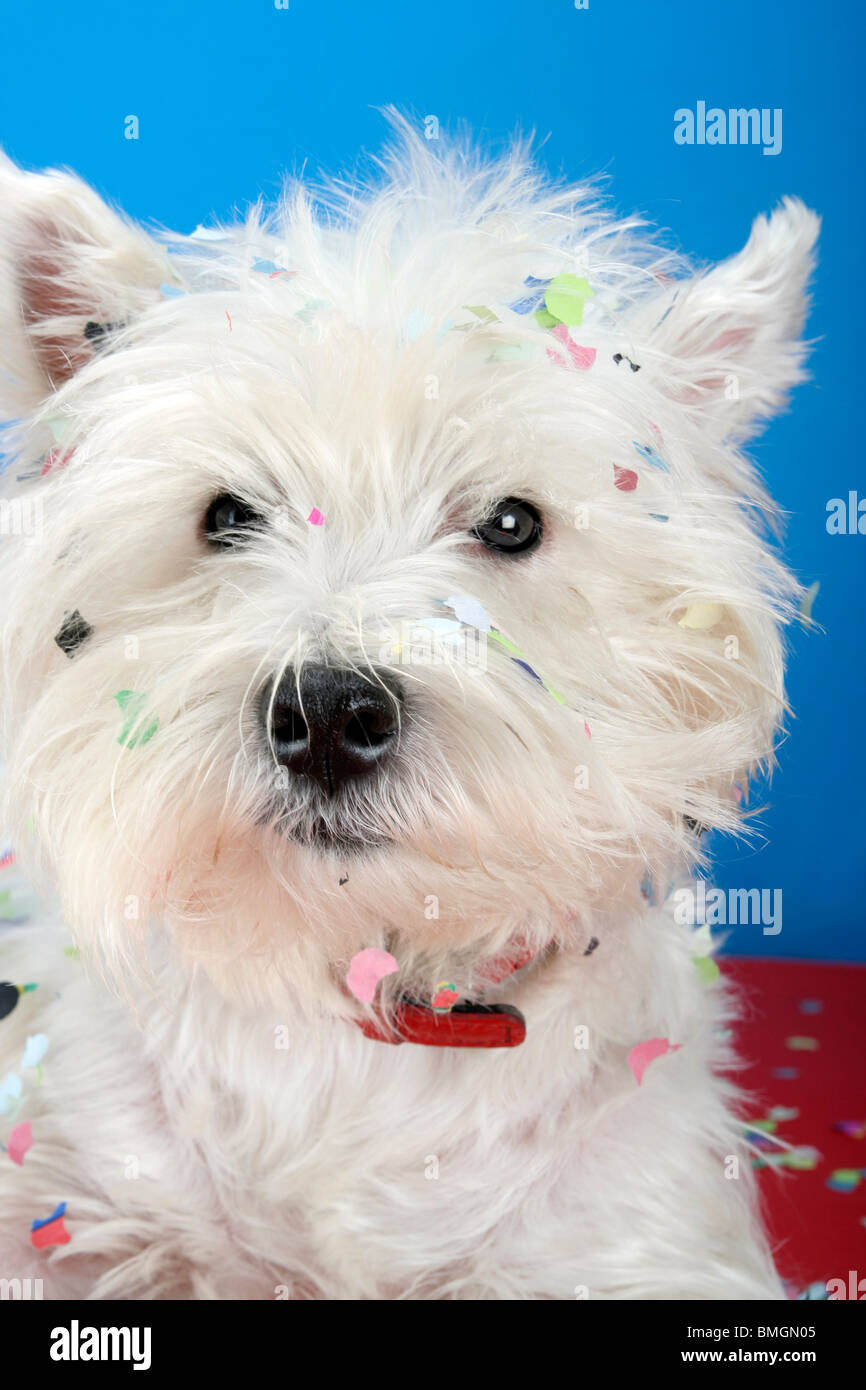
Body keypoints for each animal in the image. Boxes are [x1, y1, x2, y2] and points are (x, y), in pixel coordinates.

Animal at [0, 122, 817, 1301]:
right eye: (226, 516)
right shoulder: (70, 1197)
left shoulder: (632, 1235)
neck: (365, 1011)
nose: (327, 714)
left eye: (513, 522)